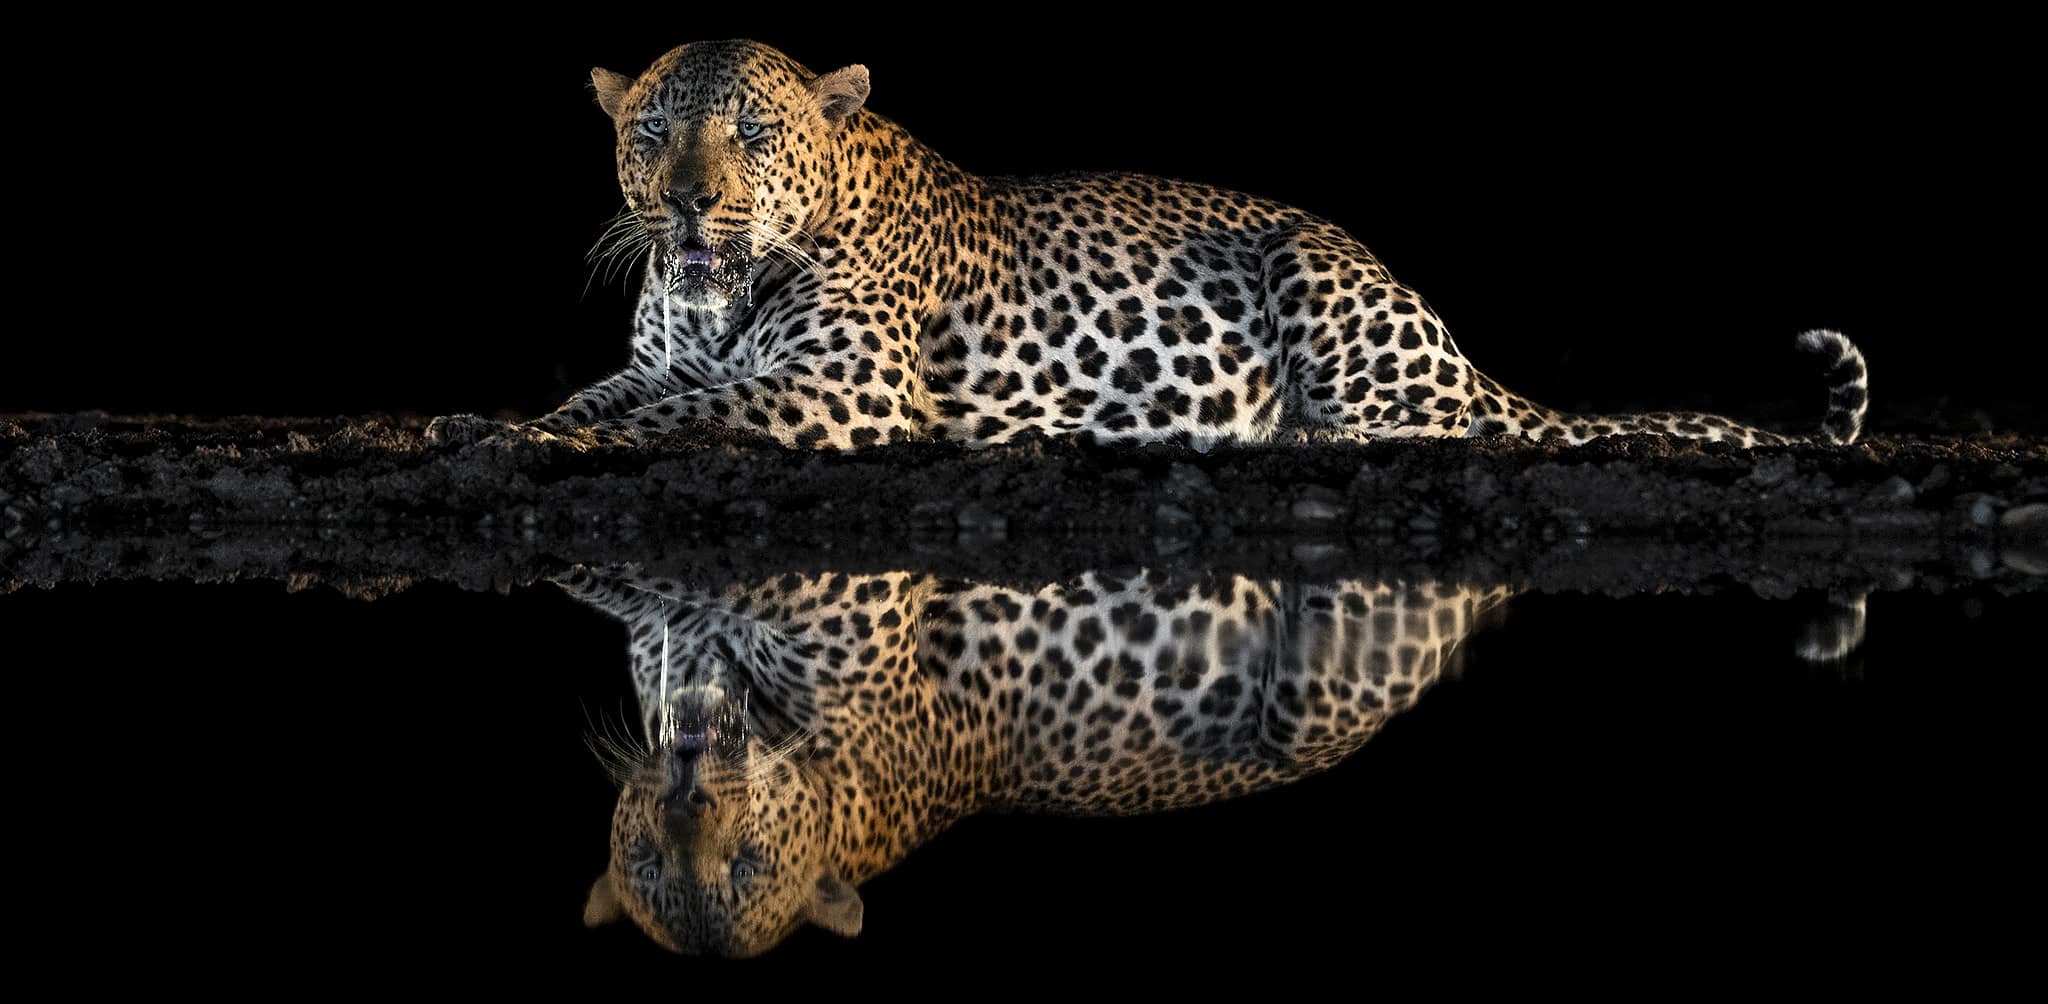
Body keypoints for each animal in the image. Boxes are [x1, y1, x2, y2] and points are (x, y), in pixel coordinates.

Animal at [429, 38, 1870, 452]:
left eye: (753, 134)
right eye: (651, 133)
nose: (685, 204)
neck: (714, 299)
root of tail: (1463, 349)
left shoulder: (841, 389)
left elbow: (681, 415)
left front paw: (556, 443)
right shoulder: (665, 358)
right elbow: (606, 395)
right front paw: (485, 423)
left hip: (1324, 297)